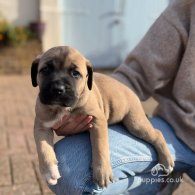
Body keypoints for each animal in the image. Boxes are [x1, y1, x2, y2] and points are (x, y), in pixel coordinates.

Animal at [31, 46, 174, 187]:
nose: (58, 89)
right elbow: (43, 148)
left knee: (157, 133)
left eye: (75, 73)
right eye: (46, 69)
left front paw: (102, 172)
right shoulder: (41, 126)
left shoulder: (97, 120)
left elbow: (100, 146)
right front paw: (49, 171)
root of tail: (129, 91)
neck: (61, 108)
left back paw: (167, 160)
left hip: (136, 123)